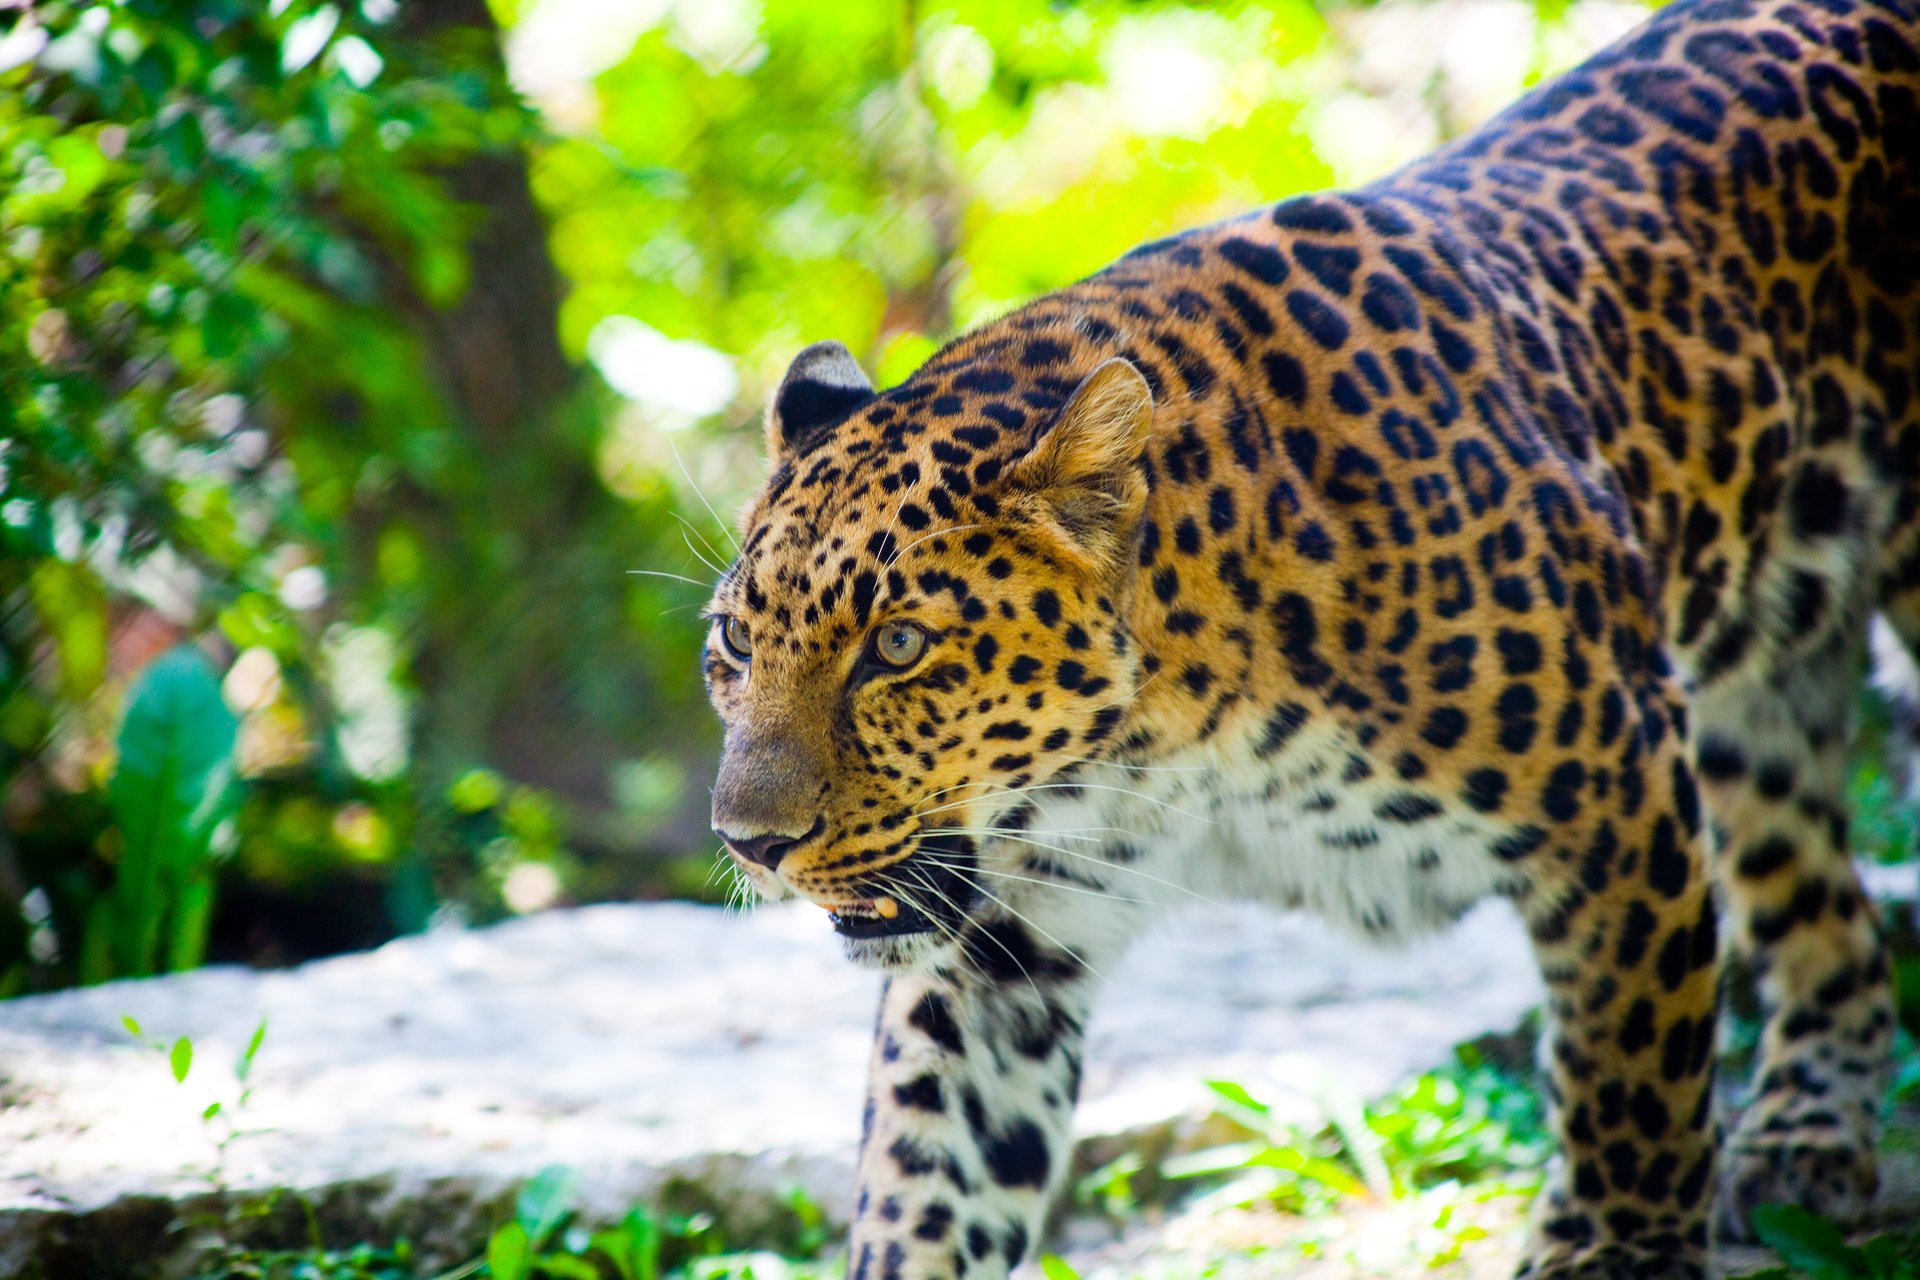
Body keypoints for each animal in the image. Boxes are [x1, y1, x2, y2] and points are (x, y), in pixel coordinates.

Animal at [700, 0, 1920, 1274]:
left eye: (897, 646)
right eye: (733, 641)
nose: (748, 843)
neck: (1169, 749)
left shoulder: (1620, 803)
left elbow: (1634, 1074)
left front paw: (1615, 1250)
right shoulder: (1004, 934)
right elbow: (930, 1168)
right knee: (1823, 907)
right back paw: (1804, 1135)